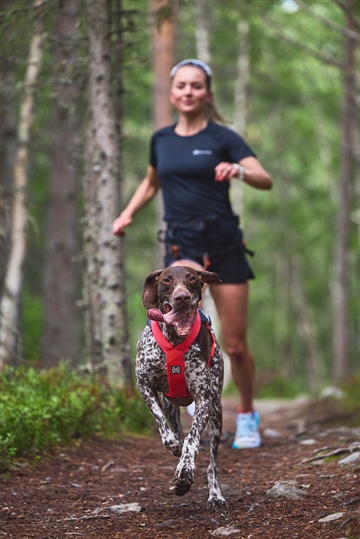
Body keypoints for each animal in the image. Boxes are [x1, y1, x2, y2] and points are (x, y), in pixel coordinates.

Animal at [135, 268, 225, 512]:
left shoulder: (204, 399)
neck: (175, 339)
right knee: (175, 428)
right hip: (171, 406)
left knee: (212, 464)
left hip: (216, 414)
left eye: (192, 278)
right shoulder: (144, 385)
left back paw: (215, 495)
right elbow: (166, 431)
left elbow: (192, 440)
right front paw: (175, 446)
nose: (182, 297)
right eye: (166, 280)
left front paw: (184, 471)